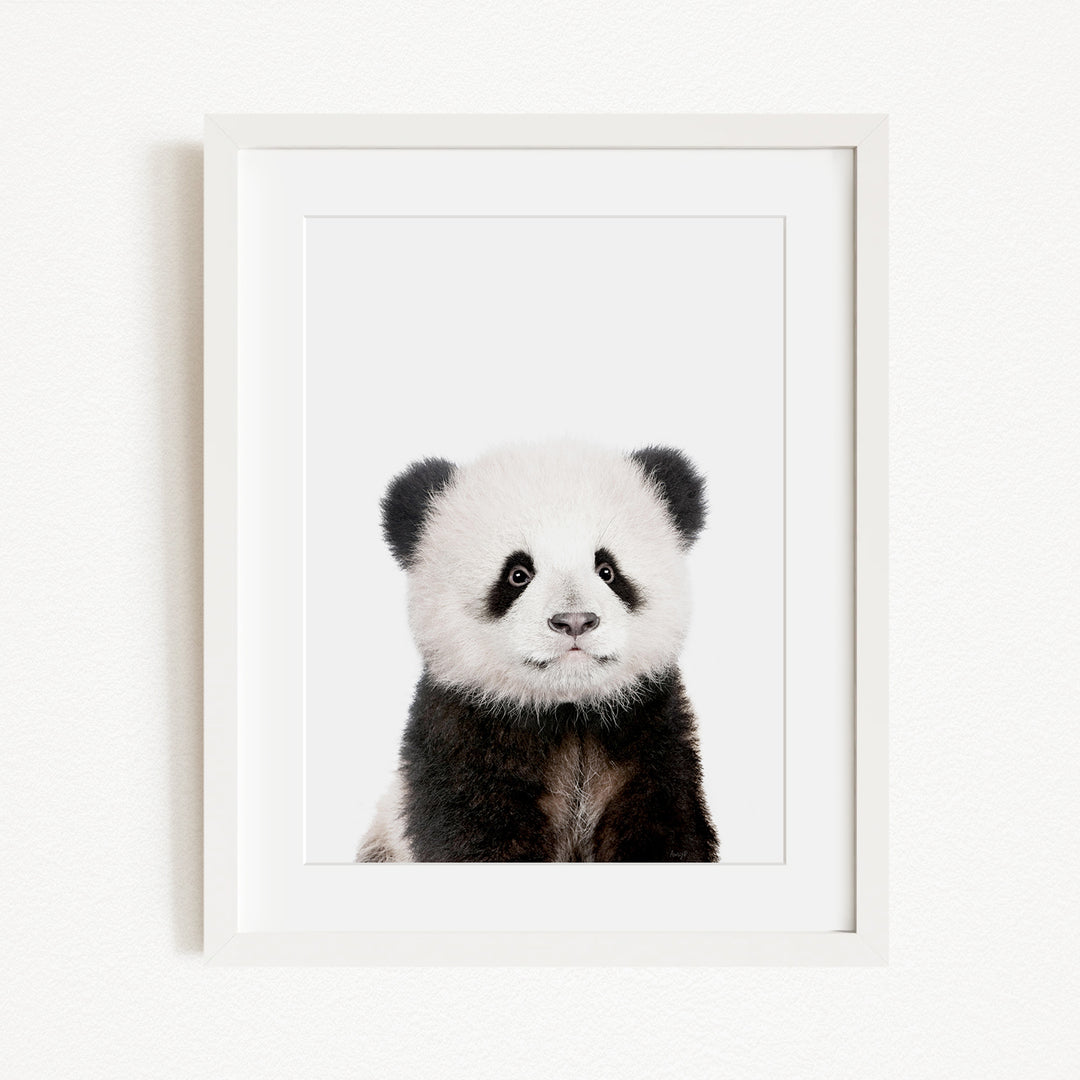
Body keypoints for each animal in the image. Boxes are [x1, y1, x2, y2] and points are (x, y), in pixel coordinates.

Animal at [357, 440, 718, 862]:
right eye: (518, 574)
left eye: (607, 570)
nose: (574, 621)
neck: (568, 712)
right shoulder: (462, 735)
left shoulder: (649, 731)